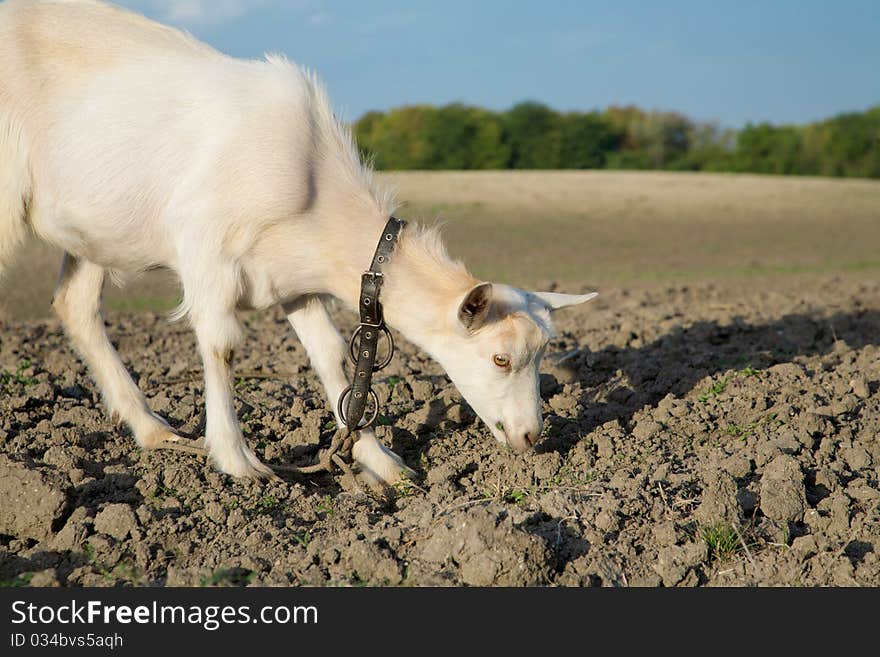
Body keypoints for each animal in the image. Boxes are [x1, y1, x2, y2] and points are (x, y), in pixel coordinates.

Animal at [1, 0, 600, 482]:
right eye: (500, 358)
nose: (531, 438)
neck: (314, 187)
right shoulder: (205, 249)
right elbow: (221, 345)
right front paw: (238, 461)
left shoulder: (295, 281)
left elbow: (333, 357)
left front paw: (381, 462)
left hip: (93, 227)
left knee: (75, 305)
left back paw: (153, 431)